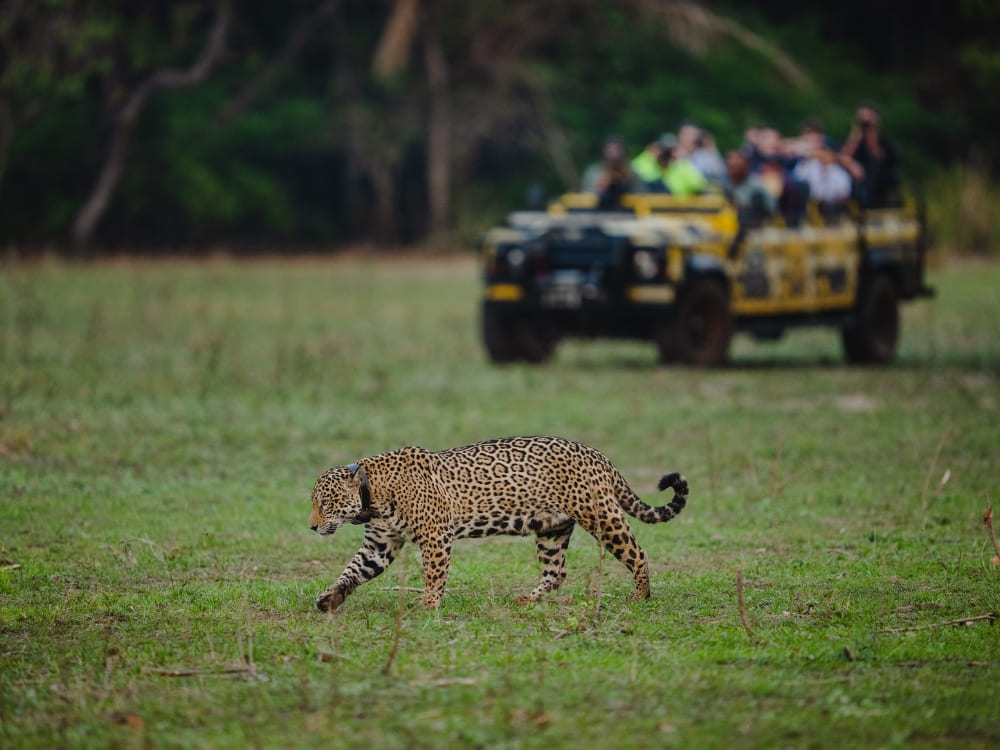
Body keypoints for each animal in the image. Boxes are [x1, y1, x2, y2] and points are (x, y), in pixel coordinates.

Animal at [308, 436, 688, 611]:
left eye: (324, 504)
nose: (311, 527)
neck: (372, 493)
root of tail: (598, 455)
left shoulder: (435, 536)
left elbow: (433, 573)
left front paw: (428, 604)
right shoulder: (380, 544)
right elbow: (353, 570)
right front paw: (330, 598)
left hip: (601, 516)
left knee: (637, 552)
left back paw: (640, 596)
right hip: (551, 529)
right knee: (556, 572)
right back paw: (528, 600)